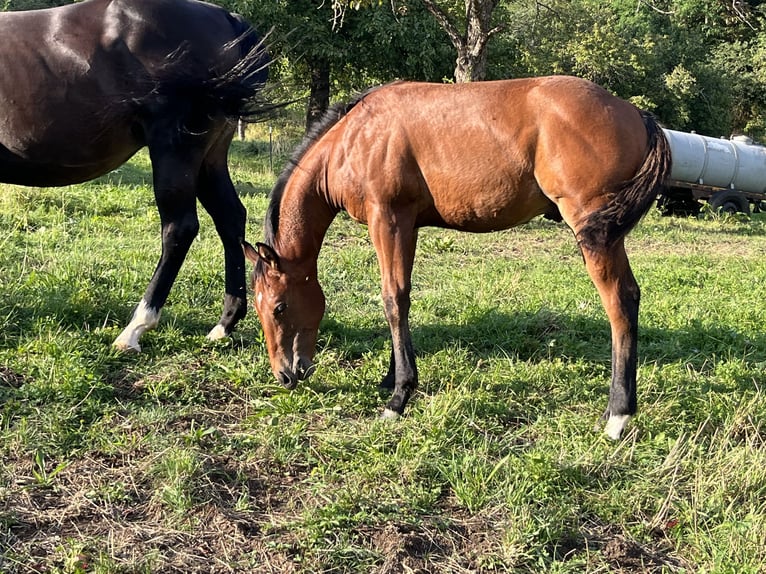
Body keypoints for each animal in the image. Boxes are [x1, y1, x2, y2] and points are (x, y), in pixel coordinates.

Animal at [0, 0, 272, 354]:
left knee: (179, 229)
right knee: (230, 218)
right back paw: (224, 325)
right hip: (209, 158)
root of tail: (225, 18)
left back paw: (135, 329)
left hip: (175, 150)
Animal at [246, 76, 672, 440]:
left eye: (279, 308)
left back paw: (617, 415)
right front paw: (392, 378)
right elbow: (402, 298)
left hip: (593, 232)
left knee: (620, 303)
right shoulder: (407, 226)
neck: (354, 138)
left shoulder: (387, 219)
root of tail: (634, 112)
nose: (284, 376)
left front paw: (398, 398)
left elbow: (392, 299)